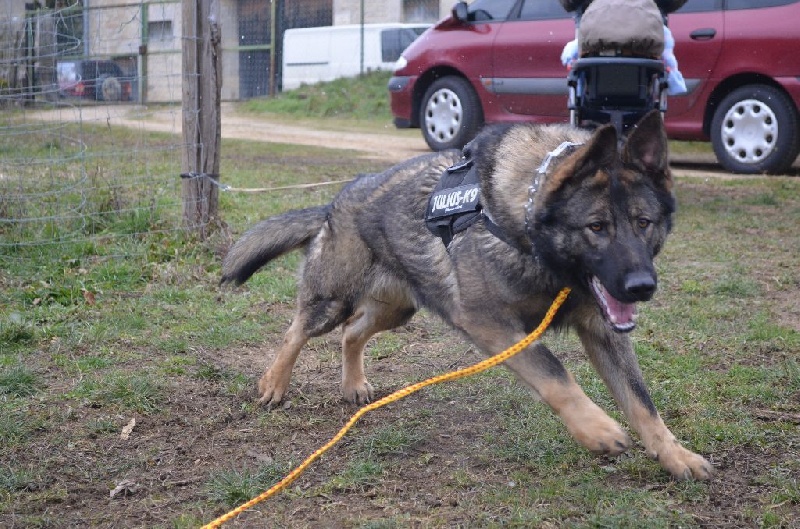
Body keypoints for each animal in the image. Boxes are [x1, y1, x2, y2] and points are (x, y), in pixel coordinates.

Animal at [220, 110, 712, 478]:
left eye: (643, 223)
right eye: (596, 227)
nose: (642, 287)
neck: (523, 219)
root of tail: (335, 201)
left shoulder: (604, 332)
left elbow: (642, 402)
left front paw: (675, 456)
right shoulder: (492, 325)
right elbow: (556, 377)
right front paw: (596, 430)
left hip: (396, 309)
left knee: (353, 333)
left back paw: (354, 384)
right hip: (333, 301)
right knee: (297, 330)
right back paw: (274, 384)